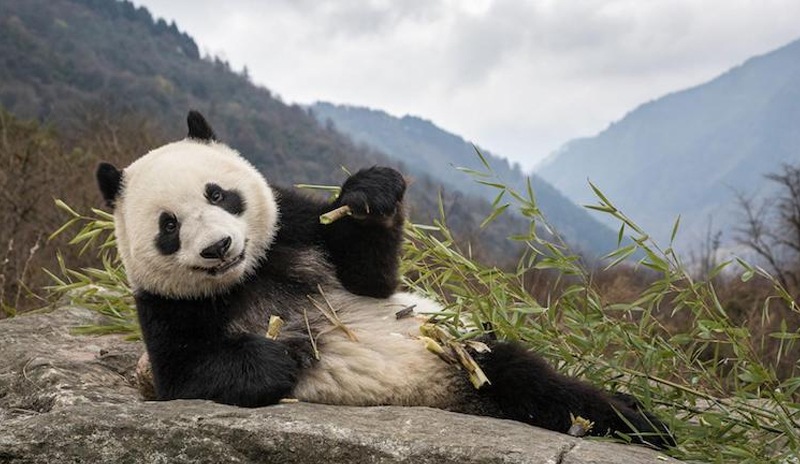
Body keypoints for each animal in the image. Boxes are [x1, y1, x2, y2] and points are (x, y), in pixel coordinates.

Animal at [95, 110, 676, 448]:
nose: (219, 247)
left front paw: (369, 193)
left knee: (531, 378)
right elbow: (186, 375)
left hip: (456, 352)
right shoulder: (166, 306)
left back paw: (642, 422)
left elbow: (369, 276)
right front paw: (283, 354)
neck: (251, 274)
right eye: (169, 225)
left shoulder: (294, 227)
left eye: (219, 194)